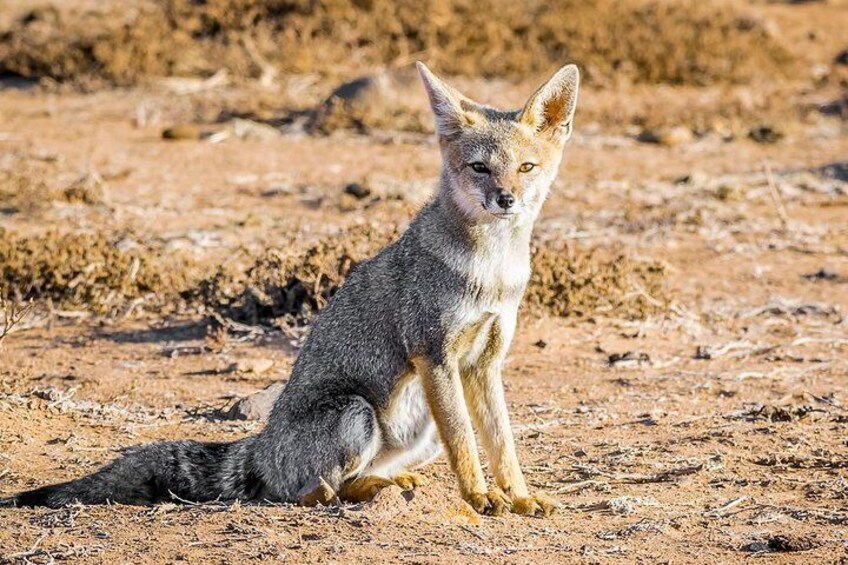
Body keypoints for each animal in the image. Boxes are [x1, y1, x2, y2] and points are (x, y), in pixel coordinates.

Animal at [4, 61, 576, 516]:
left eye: (526, 167)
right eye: (479, 167)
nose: (505, 198)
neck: (493, 271)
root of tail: (261, 446)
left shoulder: (483, 363)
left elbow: (501, 443)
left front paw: (518, 495)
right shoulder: (434, 354)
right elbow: (466, 444)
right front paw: (480, 497)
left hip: (417, 428)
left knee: (342, 479)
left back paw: (389, 481)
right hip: (357, 413)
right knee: (312, 491)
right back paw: (365, 490)